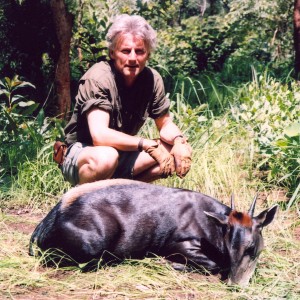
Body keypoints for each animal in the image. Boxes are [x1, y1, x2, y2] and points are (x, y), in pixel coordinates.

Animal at [29, 179, 278, 288]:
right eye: (229, 246)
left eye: (252, 248)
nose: (236, 284)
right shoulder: (178, 243)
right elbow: (214, 265)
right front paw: (172, 264)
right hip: (94, 242)